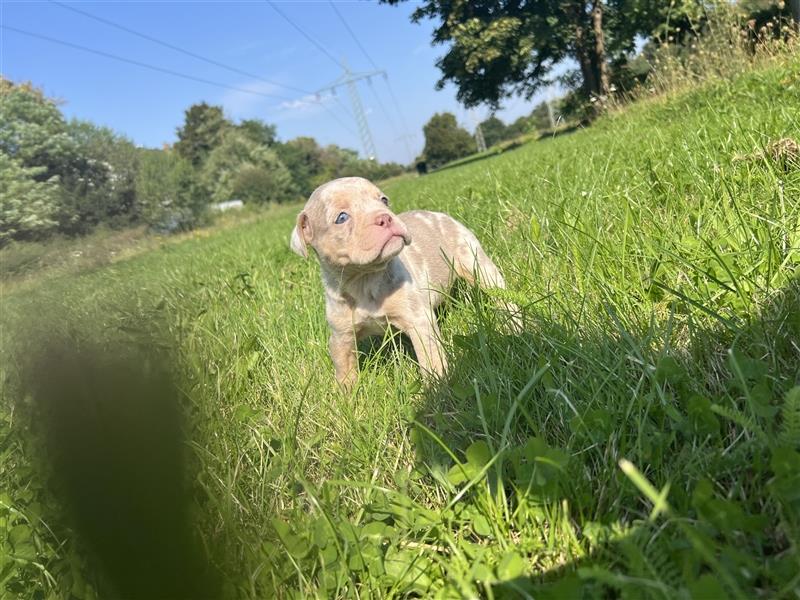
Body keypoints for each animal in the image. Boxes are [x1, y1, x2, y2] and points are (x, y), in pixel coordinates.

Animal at [290, 176, 516, 390]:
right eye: (342, 217)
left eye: (384, 200)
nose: (385, 217)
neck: (364, 280)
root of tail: (438, 214)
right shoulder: (340, 335)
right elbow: (343, 366)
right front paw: (347, 394)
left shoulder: (418, 320)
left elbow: (430, 358)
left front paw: (437, 388)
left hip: (473, 259)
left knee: (498, 292)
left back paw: (514, 323)